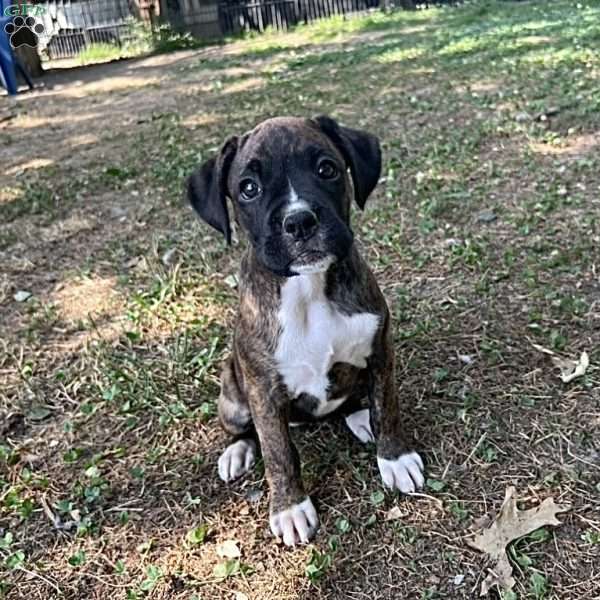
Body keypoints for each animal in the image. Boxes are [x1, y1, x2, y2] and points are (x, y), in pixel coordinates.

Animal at [190, 115, 424, 548]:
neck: (308, 288)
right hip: (233, 393)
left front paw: (395, 458)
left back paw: (360, 417)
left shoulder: (380, 353)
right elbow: (278, 452)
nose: (299, 221)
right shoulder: (263, 390)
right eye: (248, 188)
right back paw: (237, 451)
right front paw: (289, 507)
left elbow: (388, 407)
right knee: (244, 430)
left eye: (327, 169)